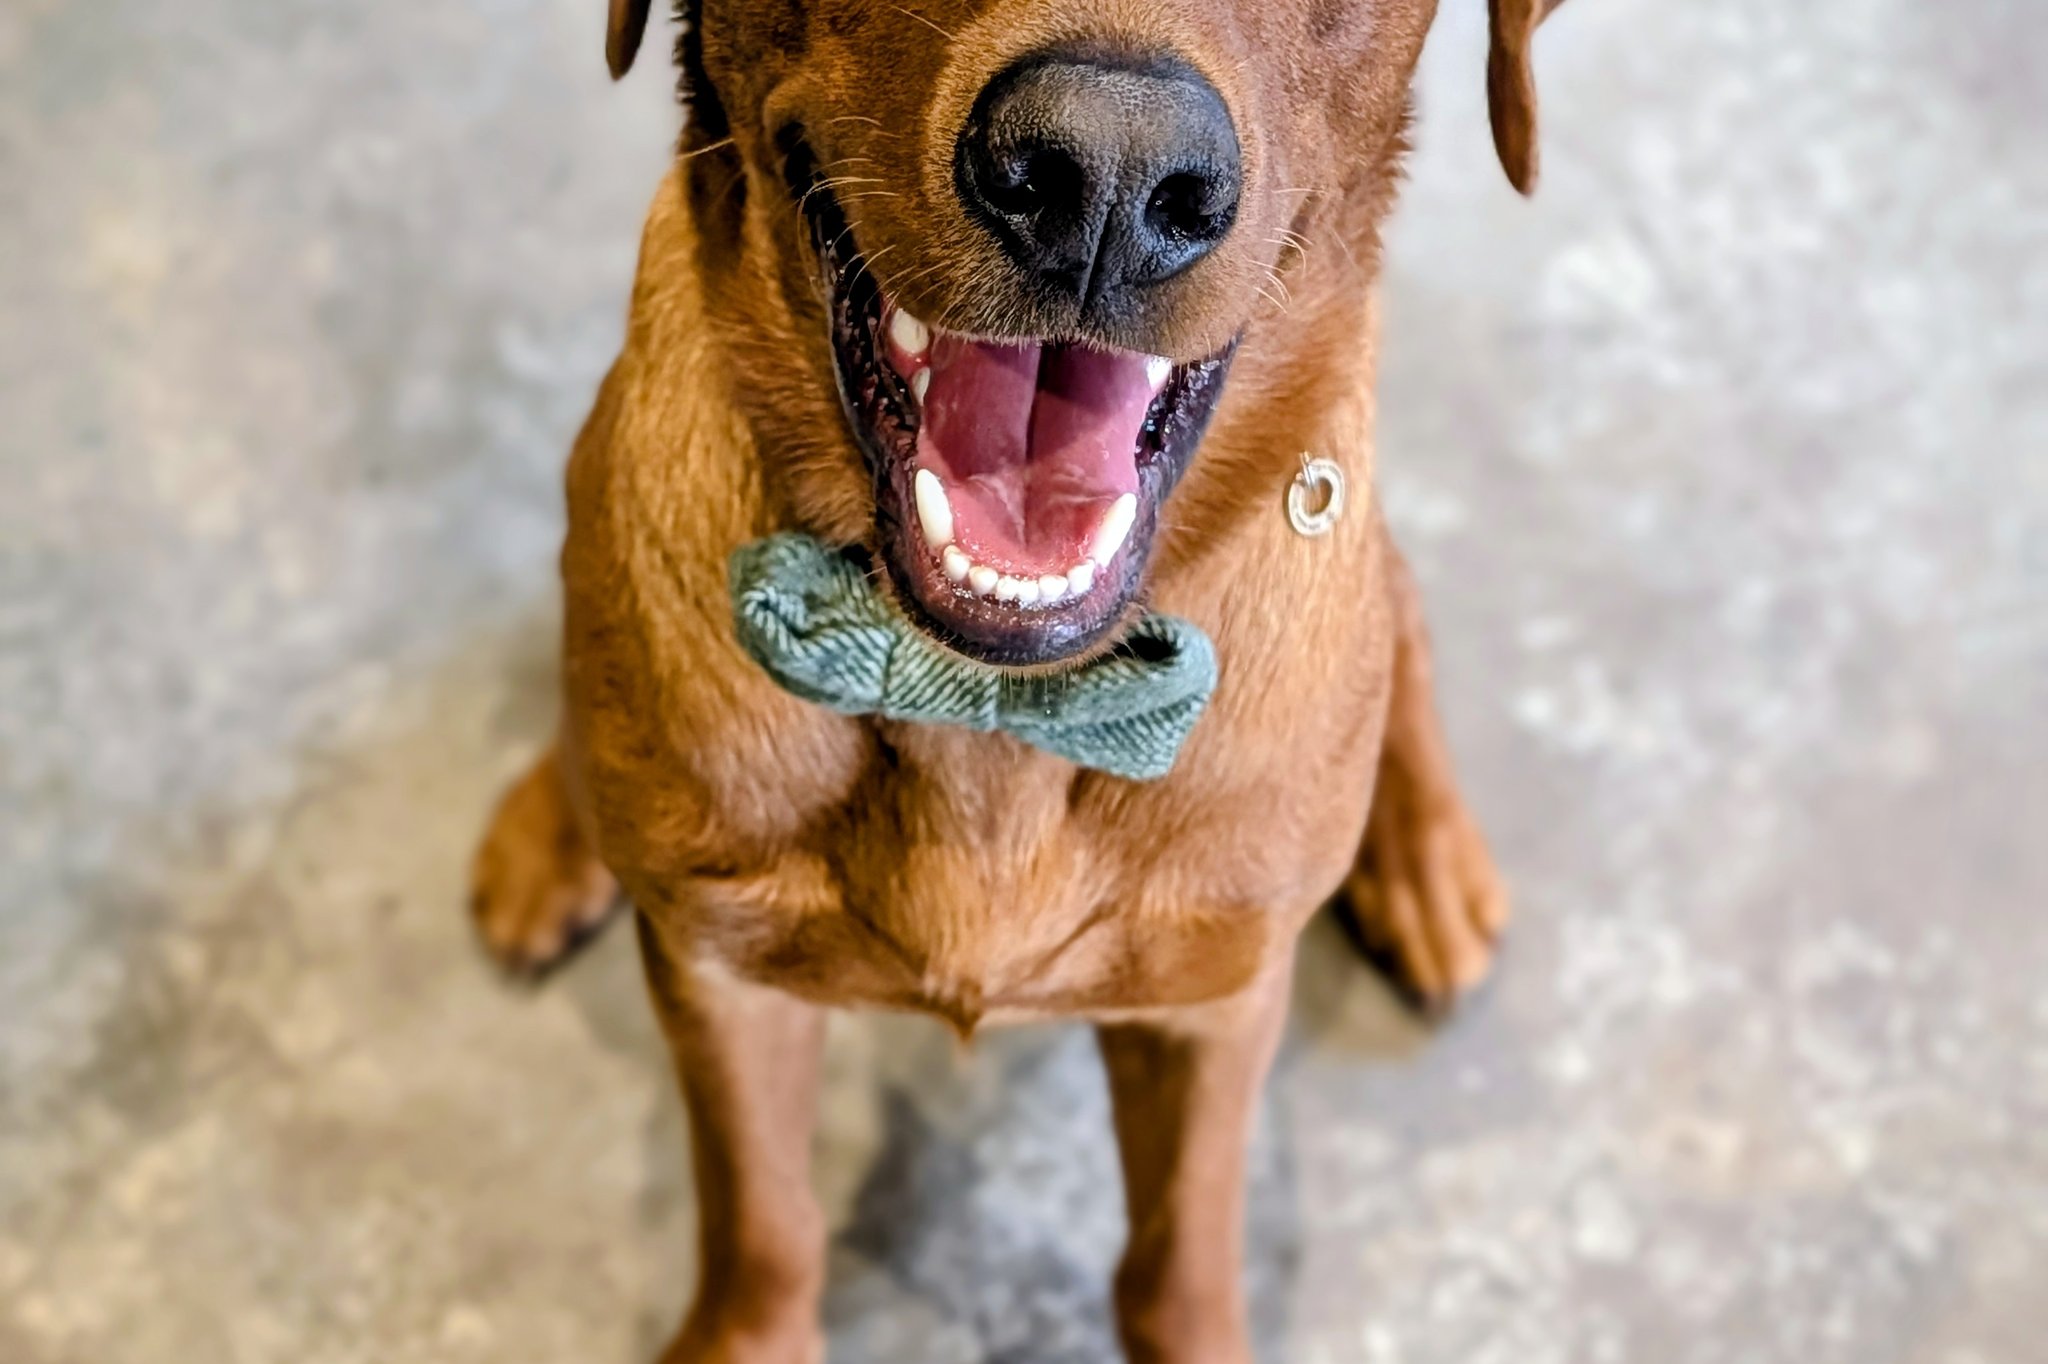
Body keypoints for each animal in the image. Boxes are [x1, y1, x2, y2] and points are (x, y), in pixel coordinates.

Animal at [470, 1, 1565, 1358]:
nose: (1104, 175)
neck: (985, 690)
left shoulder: (1213, 1001)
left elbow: (1178, 1265)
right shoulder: (719, 979)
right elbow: (763, 1226)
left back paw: (1423, 853)